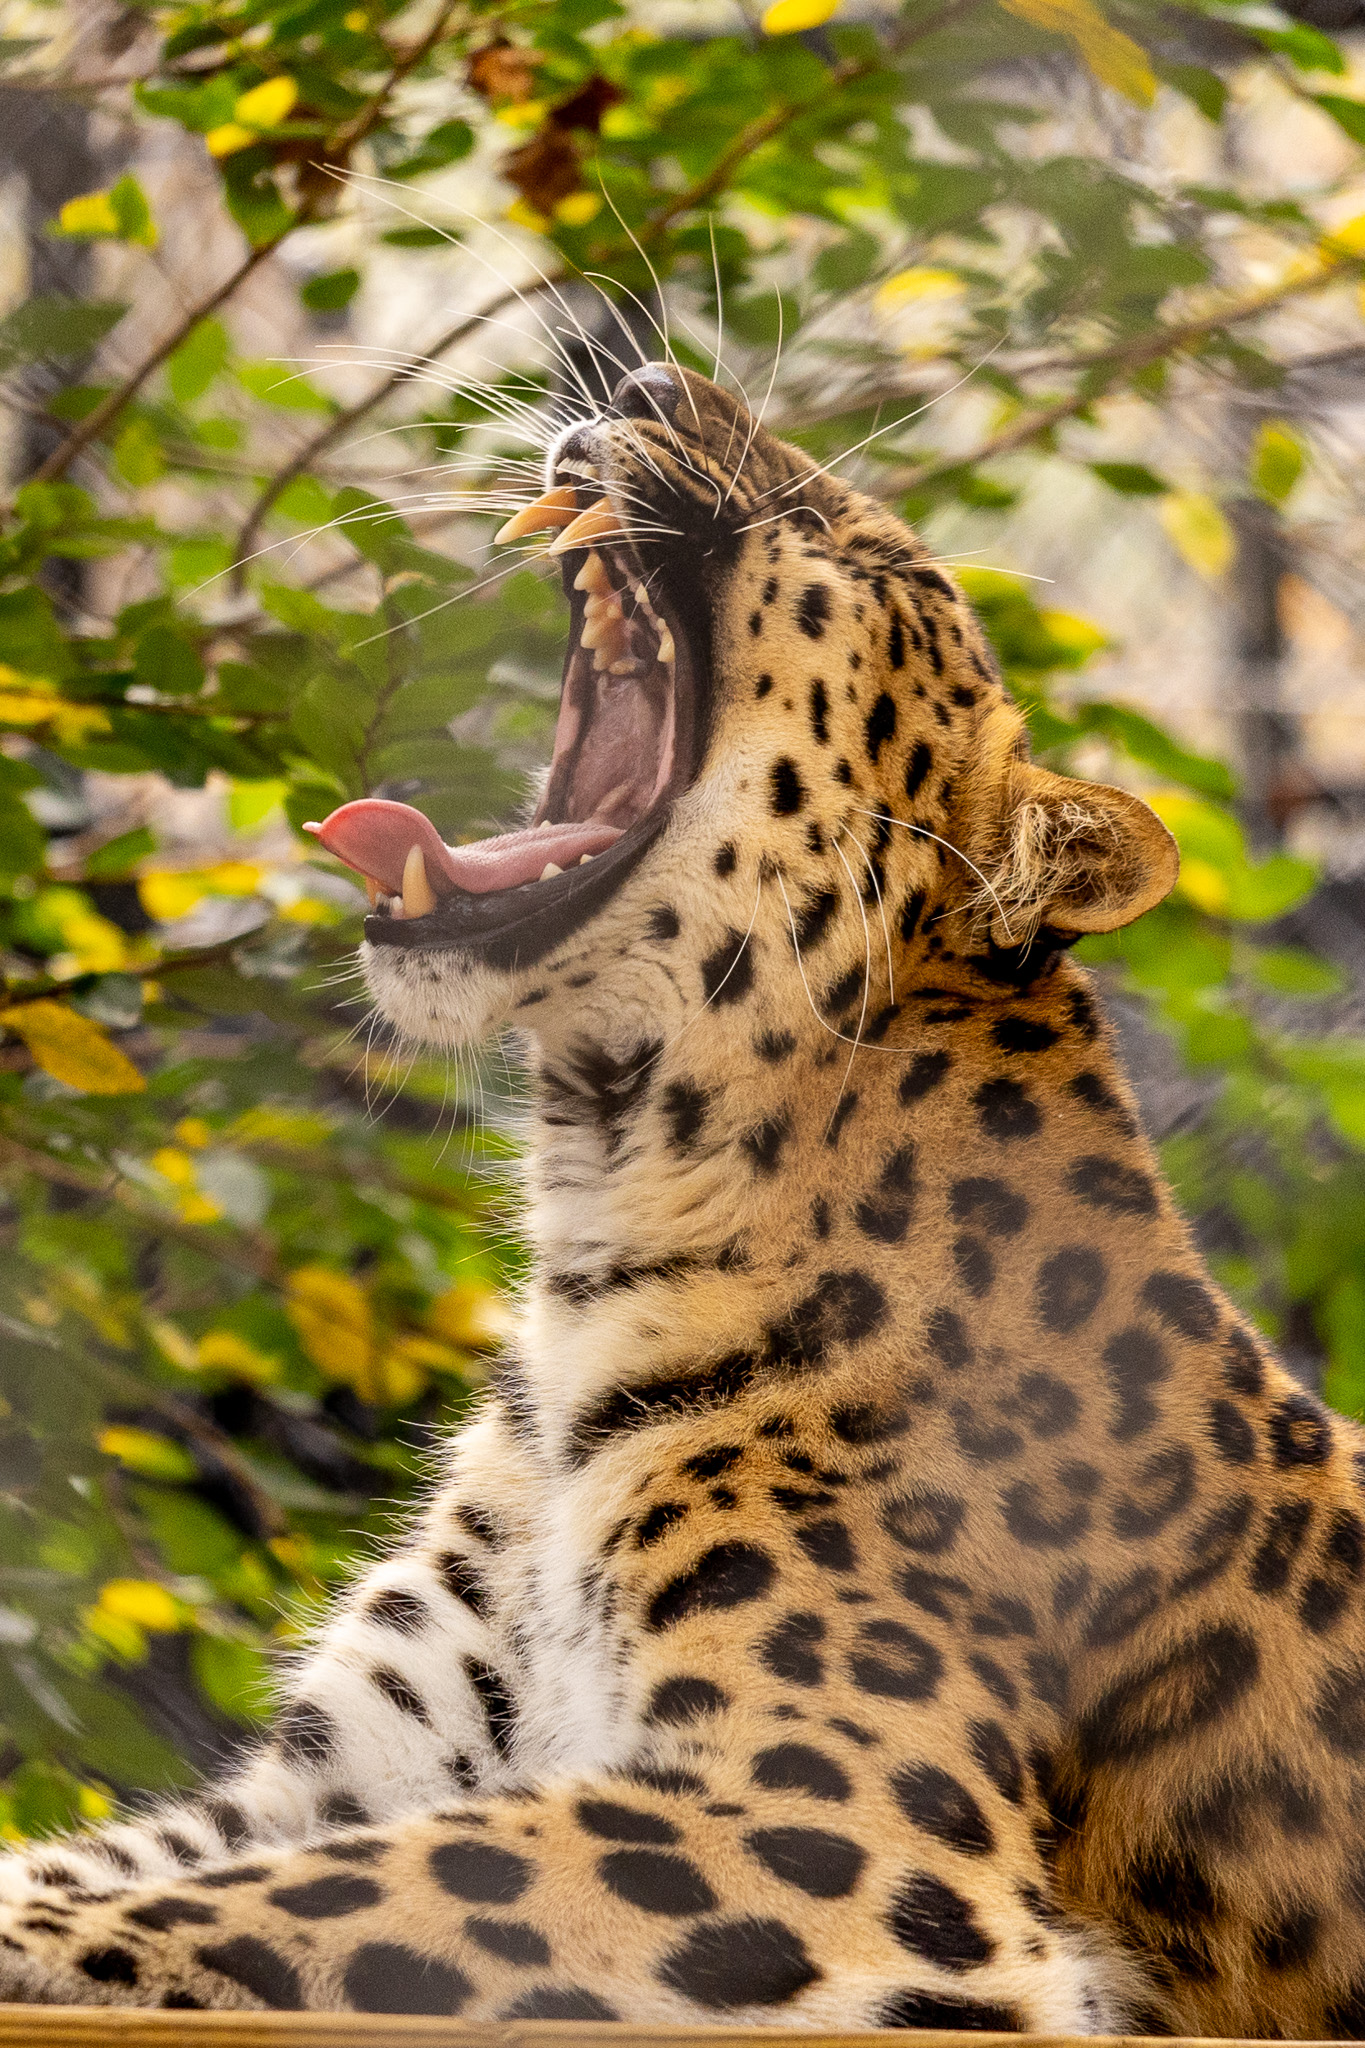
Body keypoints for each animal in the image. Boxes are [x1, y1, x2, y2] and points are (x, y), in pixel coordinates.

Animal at [3, 358, 1365, 2040]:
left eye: (848, 540)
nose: (650, 376)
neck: (605, 1189)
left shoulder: (838, 1835)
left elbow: (347, 1897)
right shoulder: (356, 1768)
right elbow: (172, 1866)